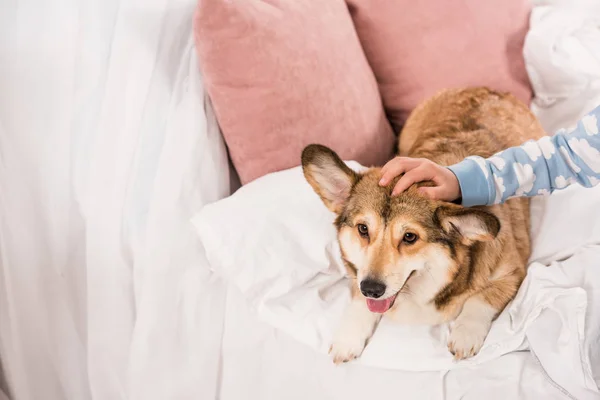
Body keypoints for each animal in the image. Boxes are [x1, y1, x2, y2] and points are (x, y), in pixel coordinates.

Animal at [302, 89, 548, 364]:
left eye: (409, 237)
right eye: (363, 229)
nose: (372, 289)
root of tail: (484, 88)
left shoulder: (512, 273)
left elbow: (481, 299)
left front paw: (465, 335)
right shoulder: (359, 277)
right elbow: (357, 301)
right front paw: (348, 338)